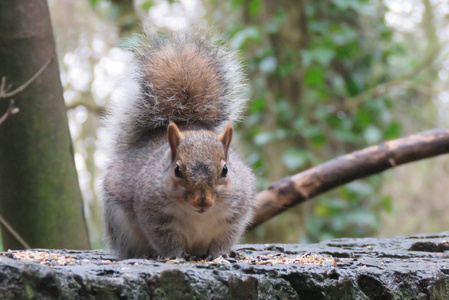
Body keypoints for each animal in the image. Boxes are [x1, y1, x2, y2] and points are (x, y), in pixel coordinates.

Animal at [101, 28, 256, 260]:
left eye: (225, 170)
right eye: (177, 170)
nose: (202, 202)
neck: (198, 216)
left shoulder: (234, 217)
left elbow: (224, 239)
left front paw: (219, 254)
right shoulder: (155, 217)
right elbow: (165, 240)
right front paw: (176, 255)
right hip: (120, 223)